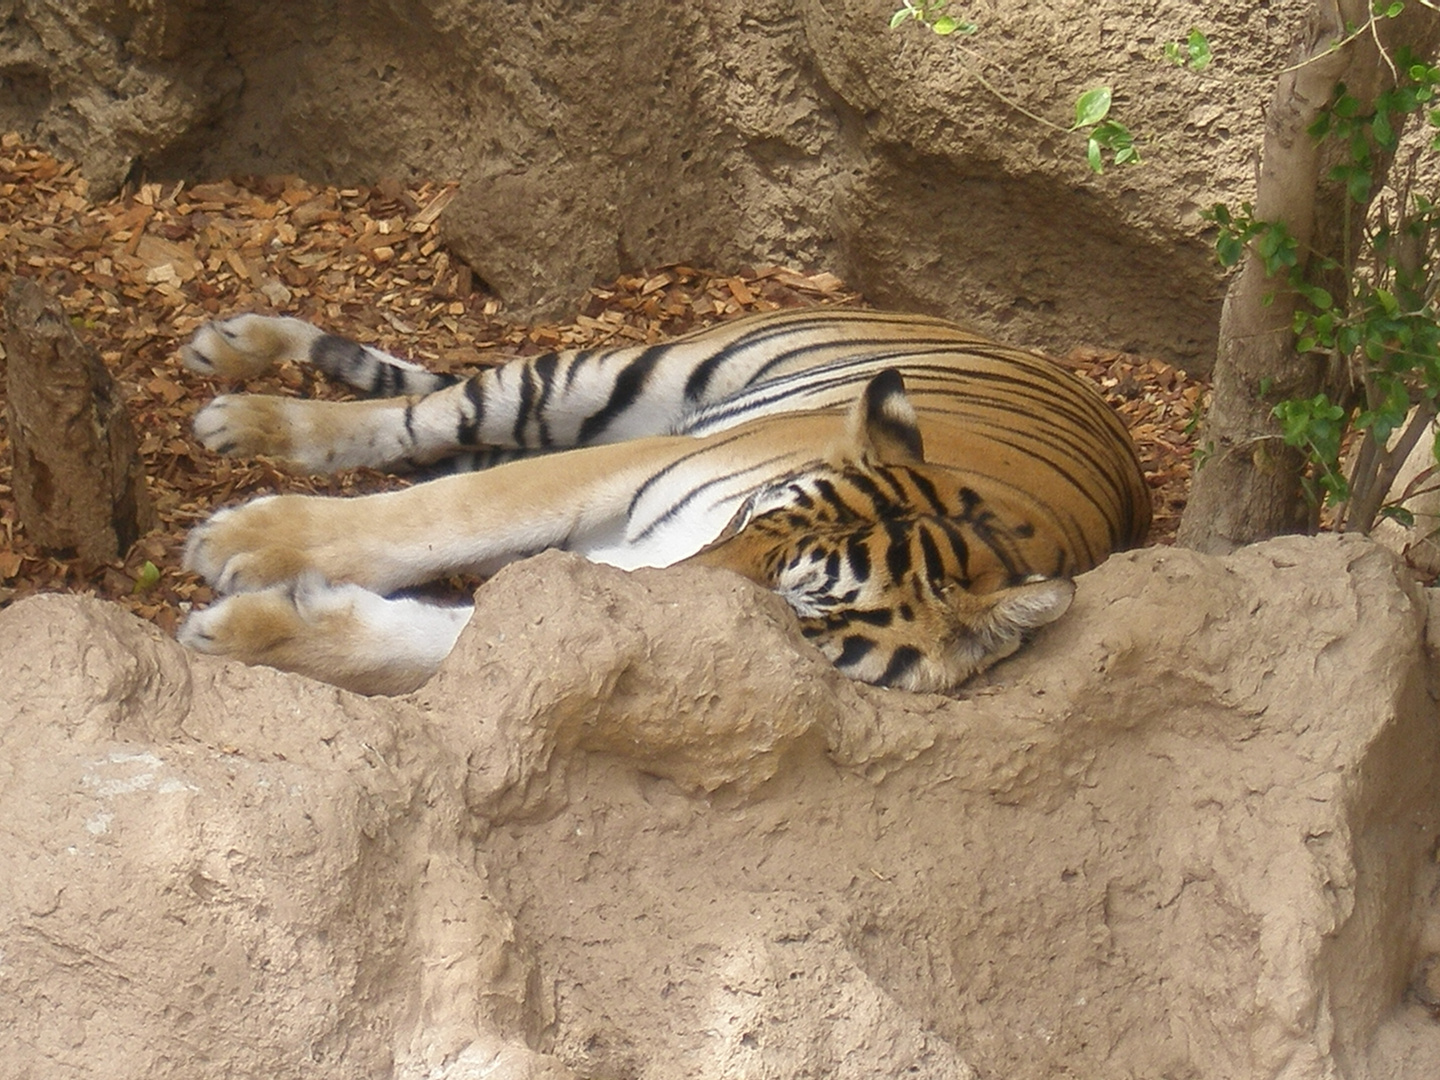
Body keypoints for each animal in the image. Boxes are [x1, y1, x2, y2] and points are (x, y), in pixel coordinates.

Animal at [177, 306, 1146, 694]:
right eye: (751, 517)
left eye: (793, 608)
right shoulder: (639, 461)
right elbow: (451, 513)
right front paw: (250, 543)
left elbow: (445, 640)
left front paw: (252, 630)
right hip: (608, 379)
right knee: (421, 417)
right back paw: (240, 394)